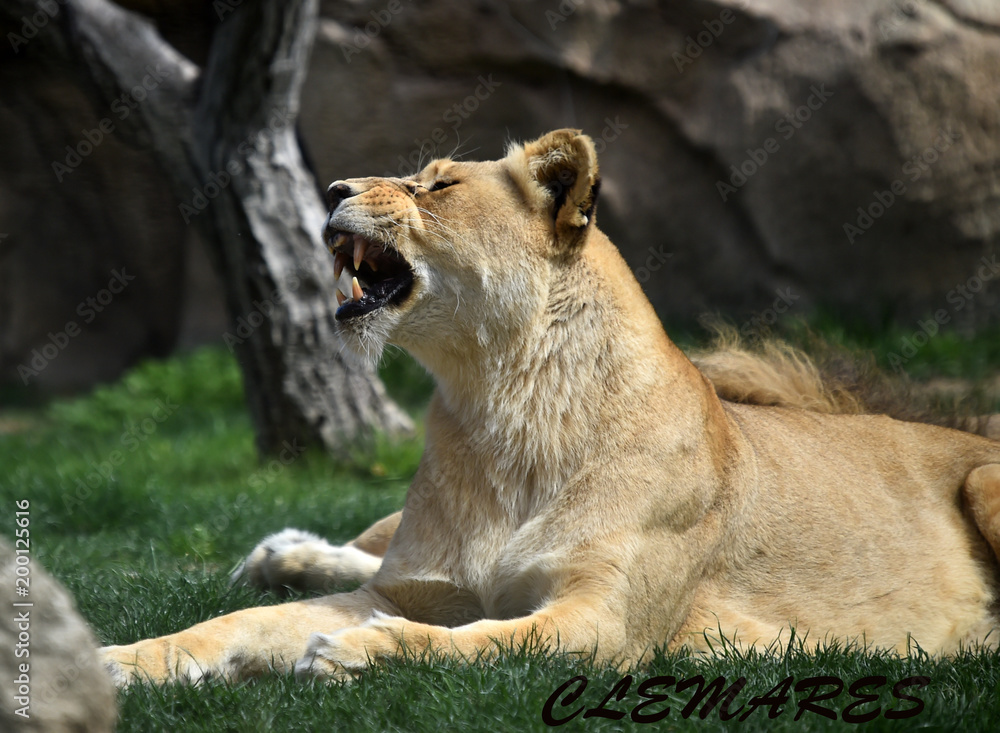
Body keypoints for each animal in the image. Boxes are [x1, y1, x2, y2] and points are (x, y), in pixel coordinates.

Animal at [102, 129, 1000, 685]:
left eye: (439, 184)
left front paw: (357, 652)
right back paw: (282, 554)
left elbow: (484, 641)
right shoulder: (409, 585)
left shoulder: (604, 622)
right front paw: (119, 660)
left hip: (985, 479)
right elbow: (237, 624)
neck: (497, 409)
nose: (330, 188)